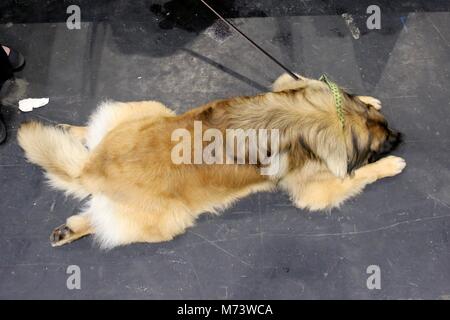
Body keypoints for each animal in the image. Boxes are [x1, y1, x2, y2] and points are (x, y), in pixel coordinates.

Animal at [16, 74, 404, 249]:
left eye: (387, 128)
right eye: (383, 143)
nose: (402, 137)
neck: (322, 117)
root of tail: (92, 167)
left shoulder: (284, 84)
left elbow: (302, 76)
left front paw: (367, 97)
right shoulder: (318, 192)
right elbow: (360, 175)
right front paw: (391, 165)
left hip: (147, 110)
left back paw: (72, 134)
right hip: (171, 218)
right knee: (103, 223)